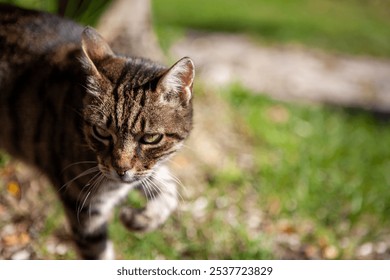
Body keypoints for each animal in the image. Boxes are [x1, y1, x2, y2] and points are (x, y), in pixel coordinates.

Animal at [0, 3, 194, 260]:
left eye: (151, 138)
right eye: (101, 131)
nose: (121, 170)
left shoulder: (144, 172)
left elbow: (169, 191)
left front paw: (138, 219)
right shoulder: (84, 207)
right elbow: (99, 254)